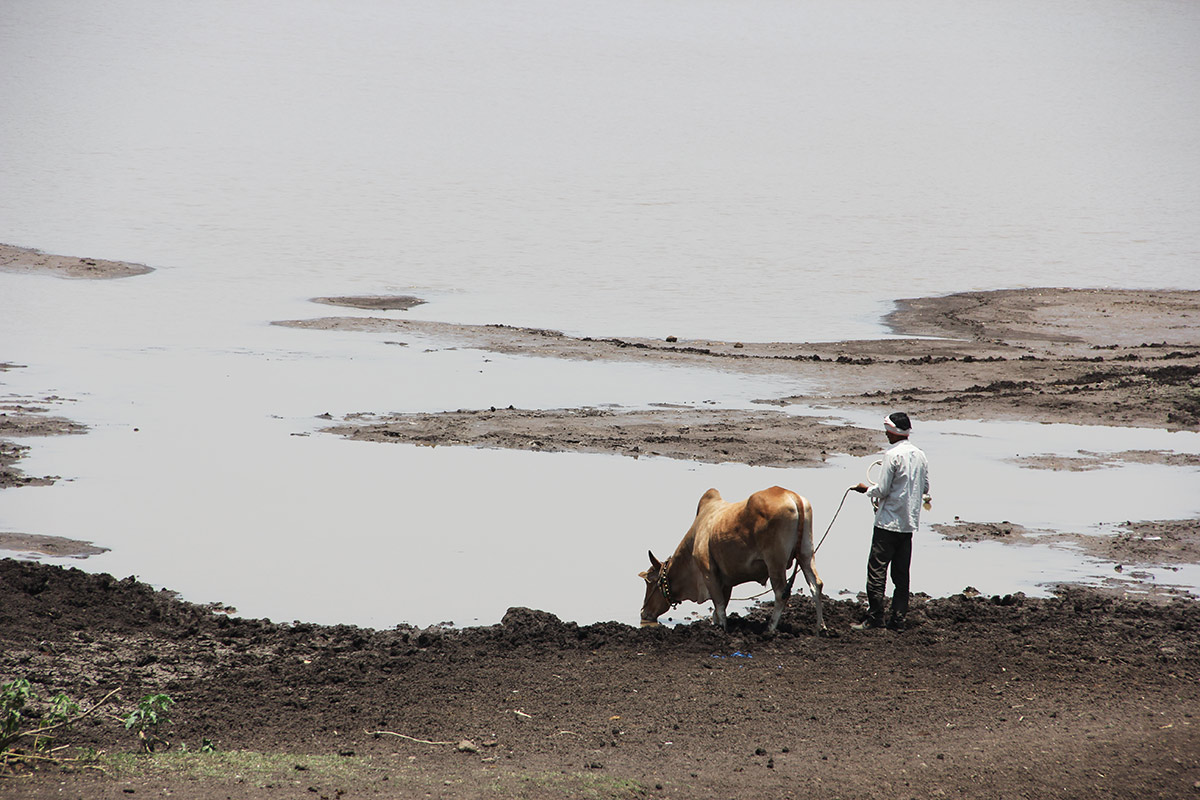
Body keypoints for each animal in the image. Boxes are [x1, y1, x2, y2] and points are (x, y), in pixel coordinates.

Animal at [638, 484, 825, 633]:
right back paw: (820, 627)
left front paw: (722, 629)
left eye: (649, 583)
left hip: (775, 563)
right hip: (806, 554)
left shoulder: (708, 572)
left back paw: (770, 628)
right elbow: (721, 605)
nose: (643, 613)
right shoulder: (725, 580)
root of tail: (791, 495)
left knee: (781, 594)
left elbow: (719, 605)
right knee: (816, 585)